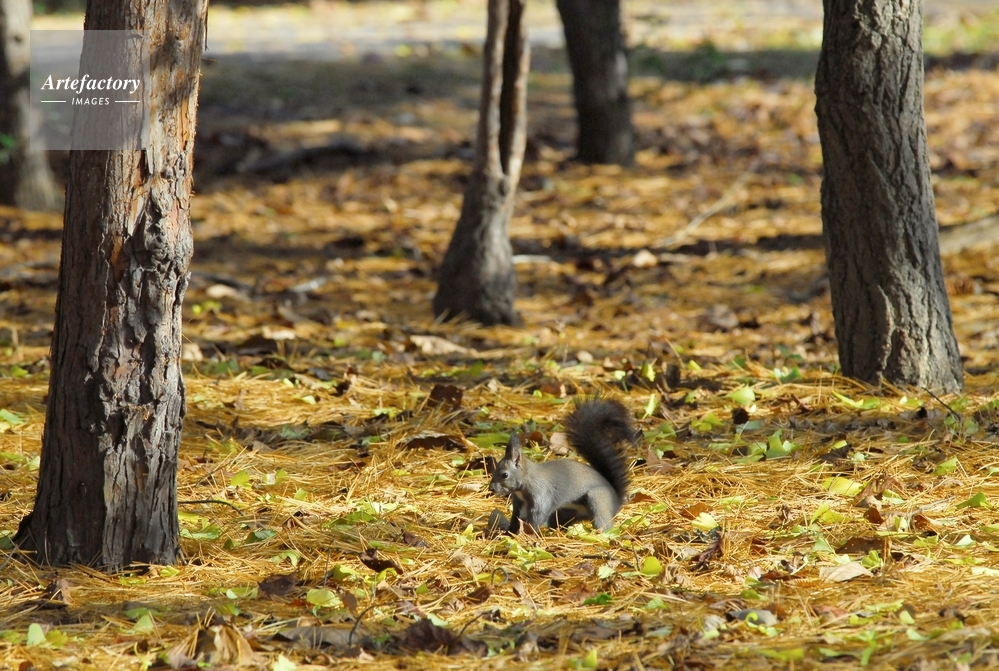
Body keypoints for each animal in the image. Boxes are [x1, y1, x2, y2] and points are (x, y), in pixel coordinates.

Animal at [487, 397, 638, 534]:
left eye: (505, 474)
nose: (491, 489)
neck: (526, 481)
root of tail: (616, 498)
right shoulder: (519, 505)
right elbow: (515, 519)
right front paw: (508, 533)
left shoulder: (541, 497)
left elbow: (535, 519)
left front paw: (528, 534)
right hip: (564, 512)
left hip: (598, 501)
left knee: (603, 523)